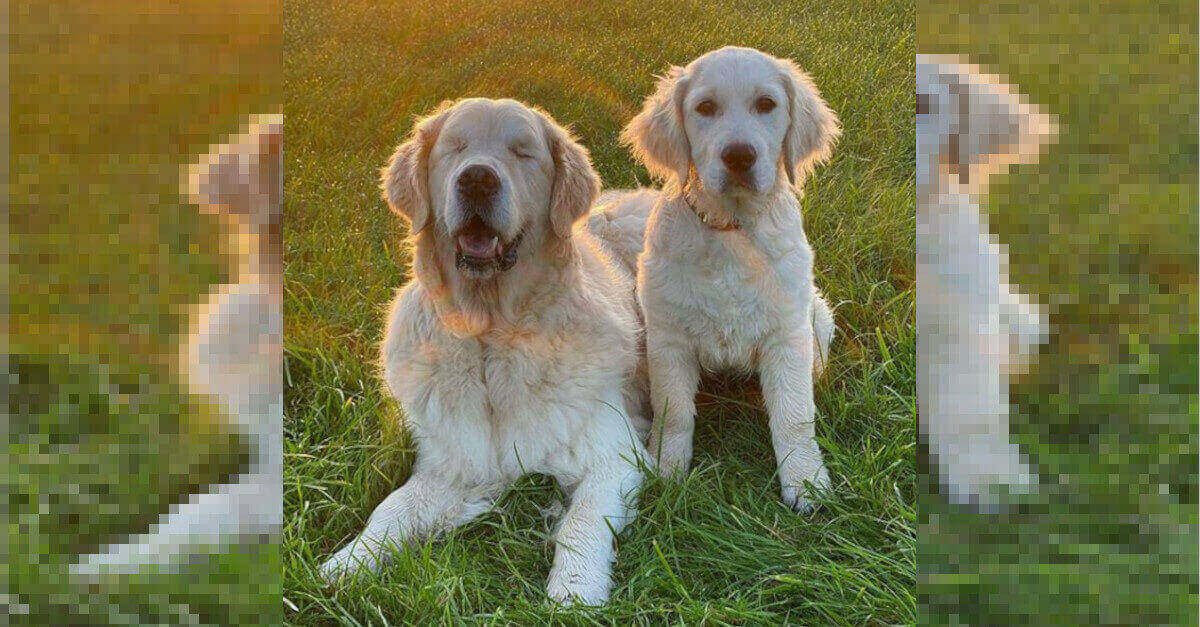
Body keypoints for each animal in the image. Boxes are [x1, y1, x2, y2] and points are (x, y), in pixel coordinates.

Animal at [319, 99, 652, 605]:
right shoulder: (455, 462)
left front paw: (574, 590)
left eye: (523, 152)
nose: (477, 179)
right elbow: (391, 509)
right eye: (455, 147)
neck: (492, 337)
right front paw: (345, 565)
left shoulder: (615, 456)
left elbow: (582, 522)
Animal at [600, 46, 844, 509]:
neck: (732, 228)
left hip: (815, 314)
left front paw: (805, 481)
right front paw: (667, 473)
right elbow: (674, 411)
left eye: (766, 104)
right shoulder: (669, 338)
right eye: (705, 108)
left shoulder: (786, 334)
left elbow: (794, 415)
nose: (739, 156)